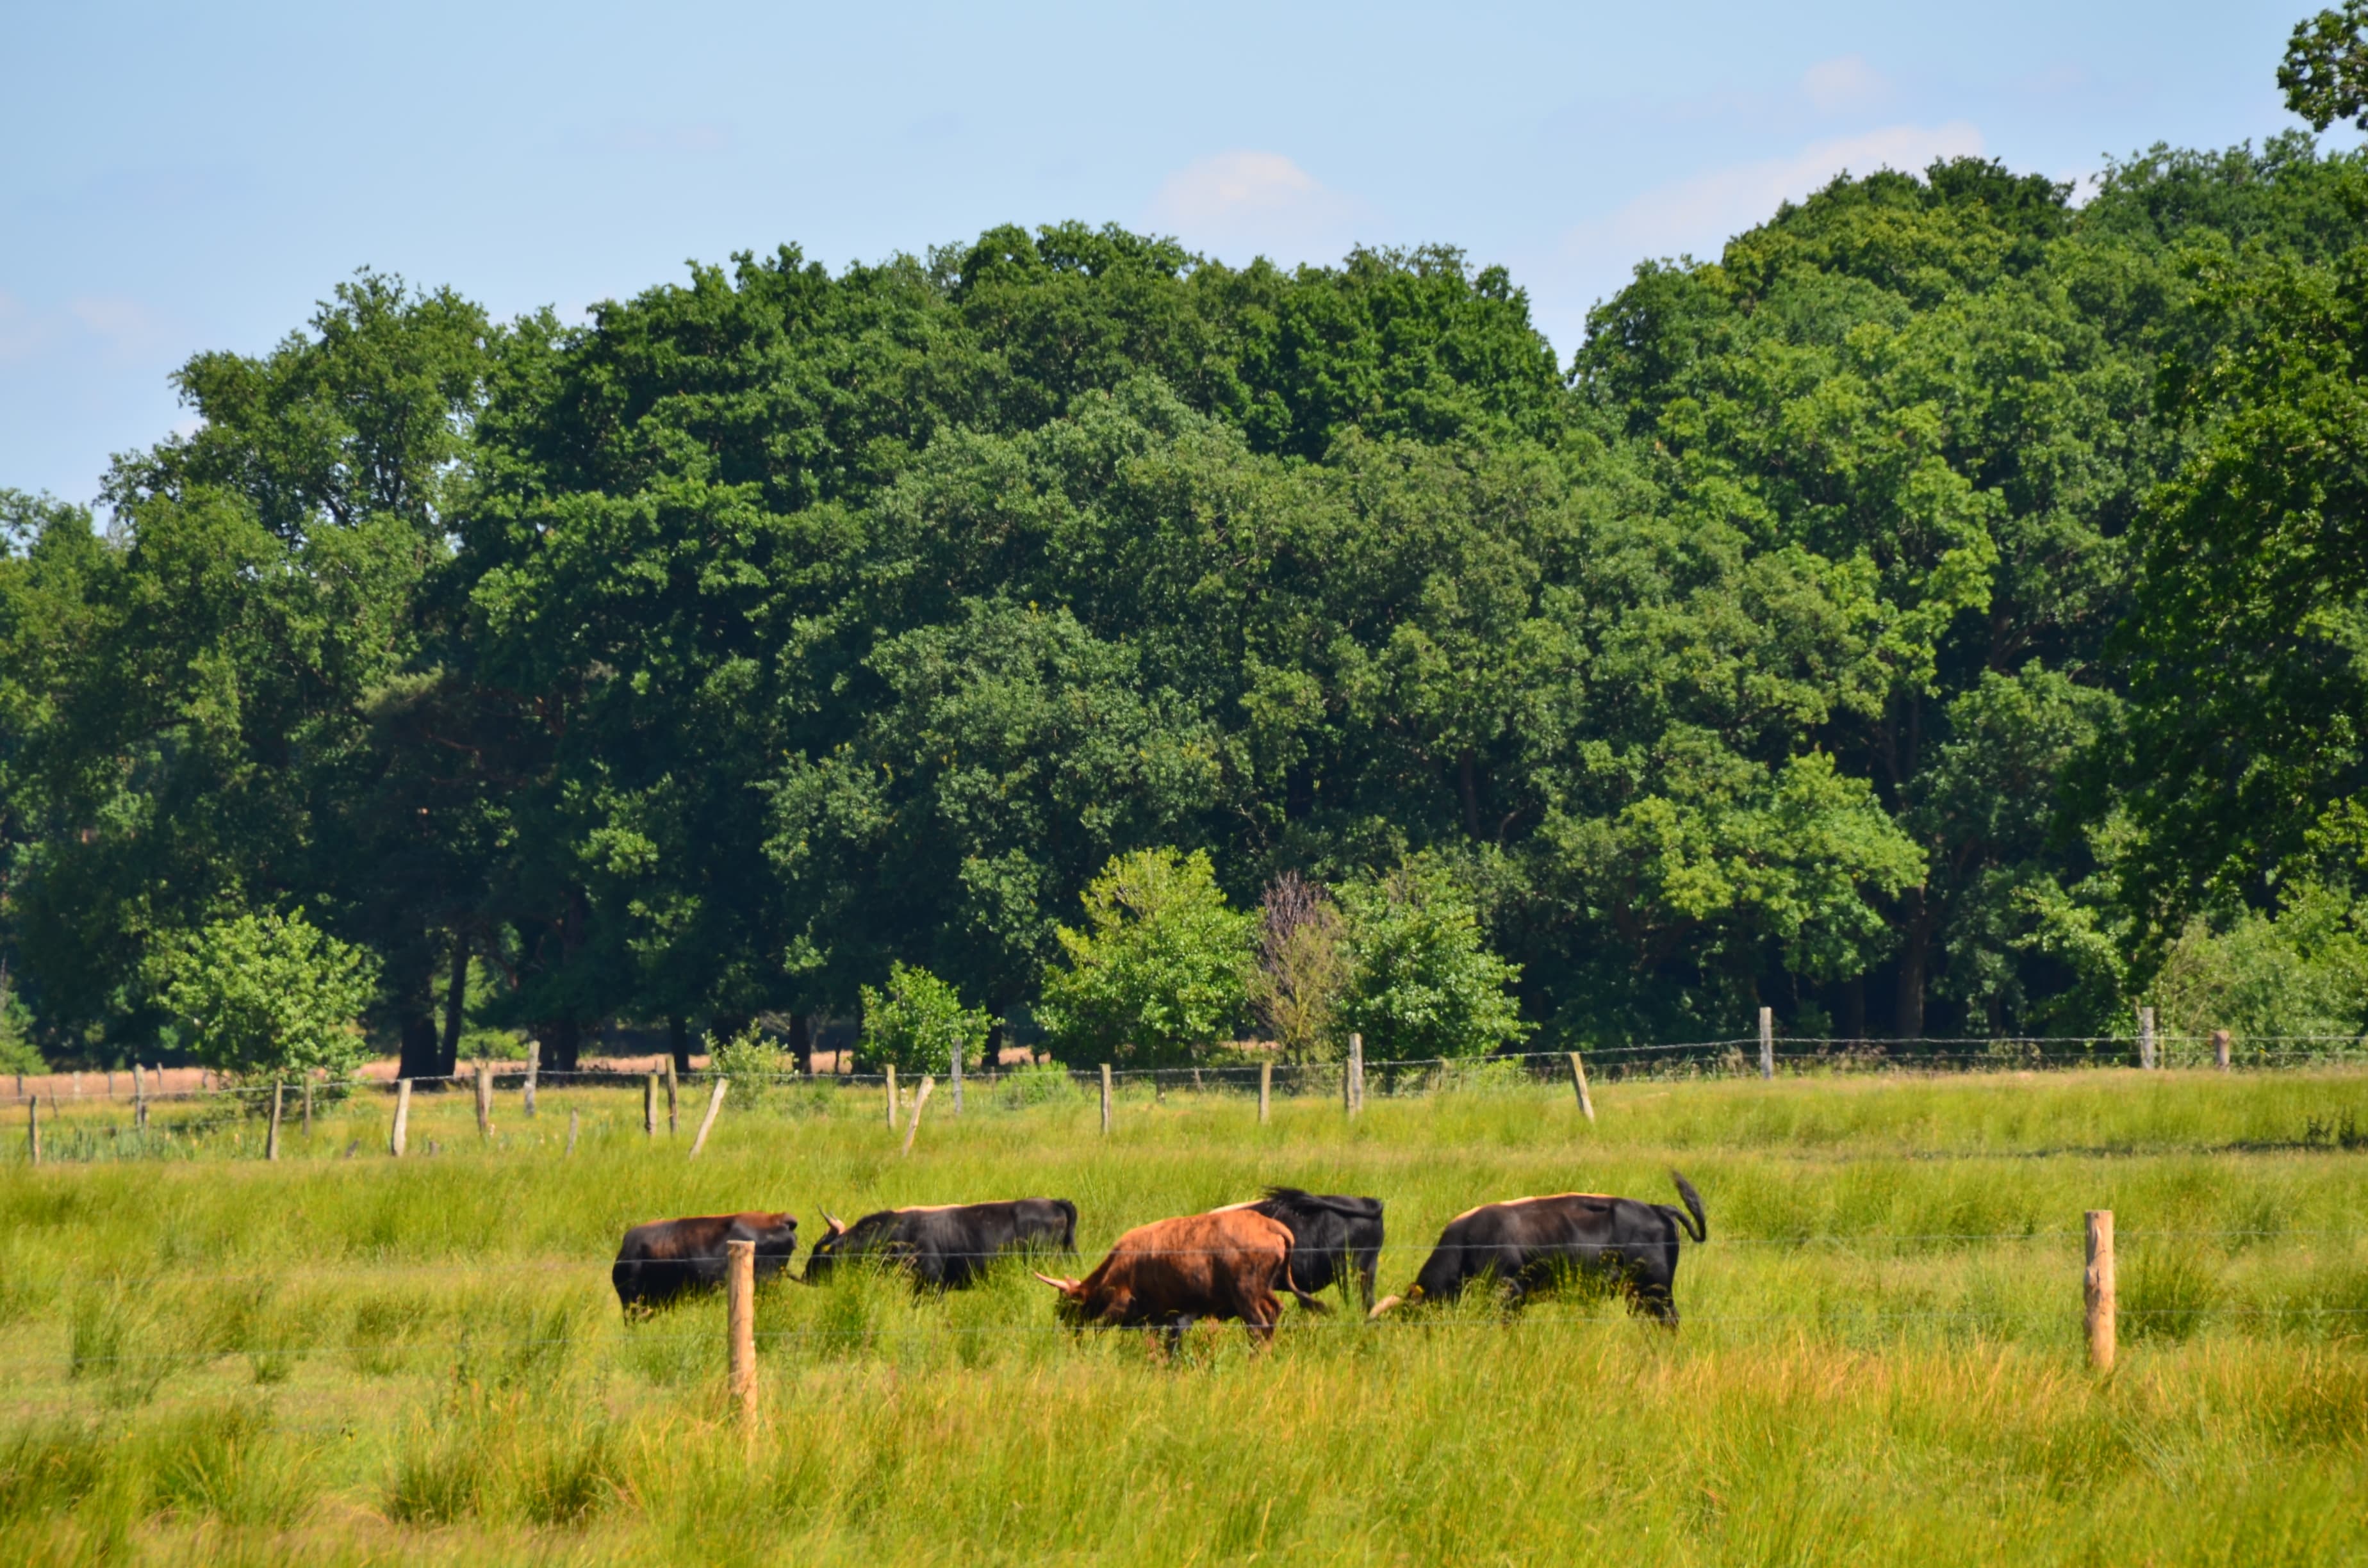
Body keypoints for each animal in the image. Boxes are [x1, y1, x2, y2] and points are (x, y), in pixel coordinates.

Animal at [1373, 1179, 1705, 1326]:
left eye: (1403, 1317)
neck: (1467, 1243)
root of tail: (1658, 1207)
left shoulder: (1509, 1293)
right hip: (1637, 1294)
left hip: (1655, 1290)